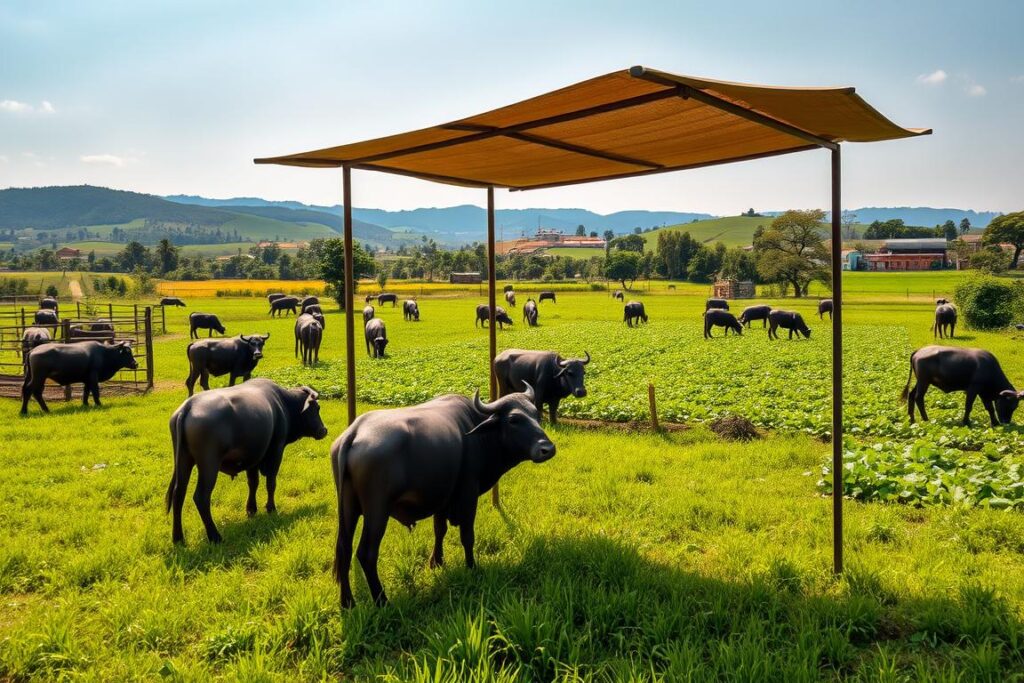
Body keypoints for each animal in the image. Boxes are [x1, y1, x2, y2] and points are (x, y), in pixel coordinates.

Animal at [167, 379, 328, 544]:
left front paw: (251, 509)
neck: (283, 403)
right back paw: (215, 536)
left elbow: (253, 483)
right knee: (201, 497)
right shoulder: (276, 451)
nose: (324, 430)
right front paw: (271, 508)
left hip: (183, 461)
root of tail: (188, 407)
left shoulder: (254, 457)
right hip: (208, 465)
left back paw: (178, 538)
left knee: (178, 494)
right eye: (317, 408)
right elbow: (271, 483)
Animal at [330, 387, 555, 606]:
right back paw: (382, 601)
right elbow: (467, 536)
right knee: (366, 553)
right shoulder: (468, 495)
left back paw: (347, 601)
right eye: (514, 420)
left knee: (344, 548)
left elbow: (439, 530)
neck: (475, 430)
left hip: (348, 508)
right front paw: (472, 567)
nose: (547, 449)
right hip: (377, 511)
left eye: (536, 415)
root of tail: (354, 432)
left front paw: (436, 562)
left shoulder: (442, 497)